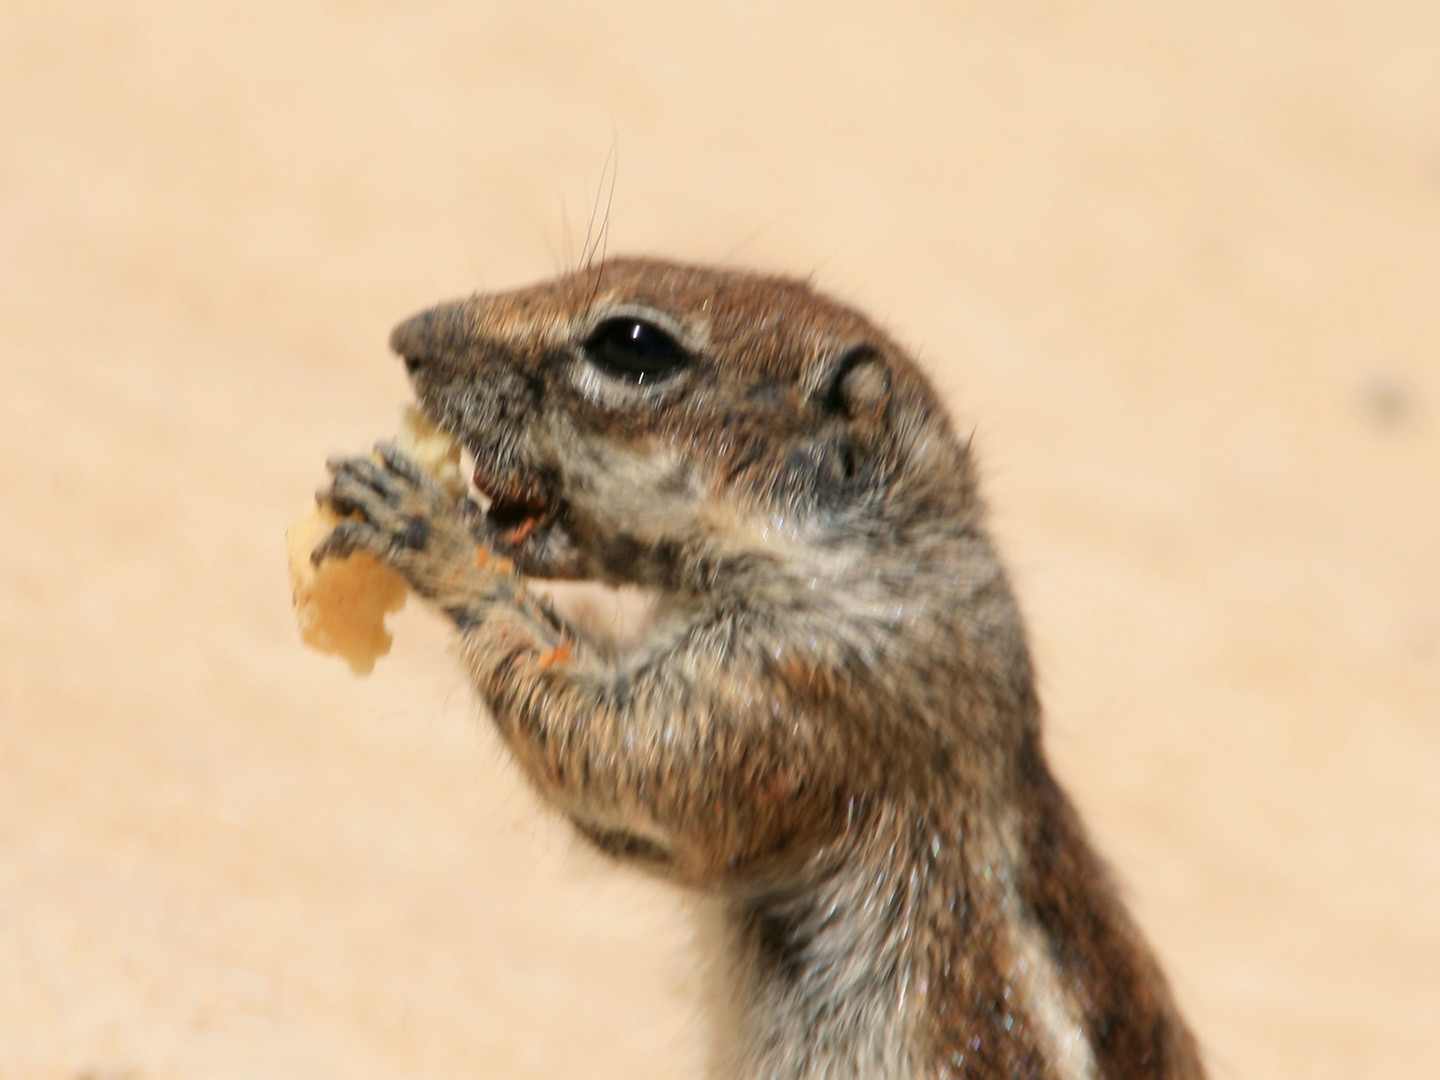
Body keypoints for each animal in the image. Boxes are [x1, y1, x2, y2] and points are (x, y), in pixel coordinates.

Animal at [321, 257, 1209, 1077]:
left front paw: (434, 536)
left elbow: (623, 758)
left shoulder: (801, 686)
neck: (881, 561)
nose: (408, 337)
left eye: (633, 345)